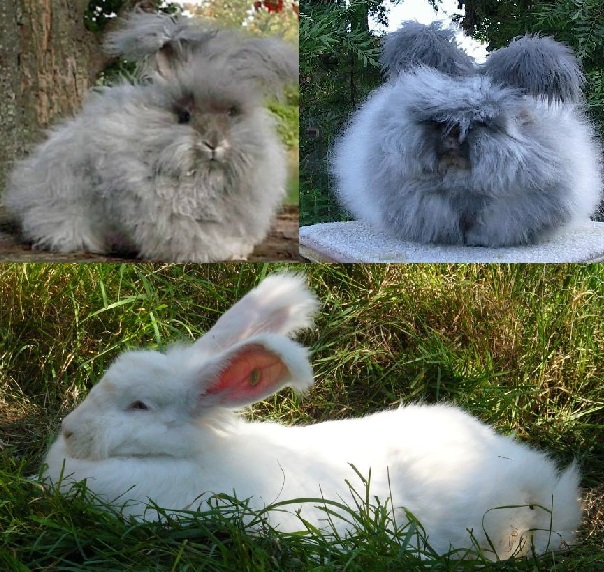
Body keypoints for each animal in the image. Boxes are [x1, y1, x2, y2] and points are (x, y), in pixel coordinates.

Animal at [4, 11, 298, 262]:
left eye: (232, 113)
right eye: (184, 116)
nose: (214, 144)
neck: (204, 179)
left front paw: (238, 251)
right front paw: (219, 253)